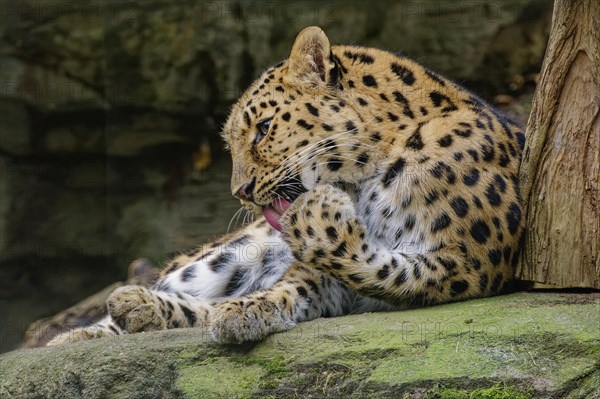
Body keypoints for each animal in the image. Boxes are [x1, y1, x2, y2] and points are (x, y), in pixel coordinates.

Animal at [48, 26, 524, 346]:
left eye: (262, 129)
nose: (239, 192)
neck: (366, 177)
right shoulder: (320, 278)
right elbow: (290, 286)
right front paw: (249, 308)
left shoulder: (468, 264)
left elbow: (384, 270)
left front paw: (318, 218)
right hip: (226, 256)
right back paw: (108, 319)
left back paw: (136, 310)